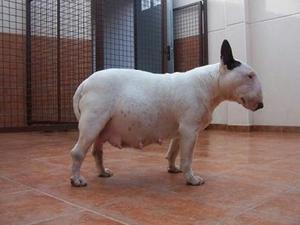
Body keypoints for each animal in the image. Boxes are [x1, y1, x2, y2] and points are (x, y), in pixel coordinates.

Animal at [70, 40, 262, 186]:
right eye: (250, 76)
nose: (261, 105)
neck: (209, 82)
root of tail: (85, 83)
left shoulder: (180, 132)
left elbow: (173, 152)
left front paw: (173, 169)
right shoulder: (190, 131)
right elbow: (187, 158)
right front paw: (191, 179)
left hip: (101, 129)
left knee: (97, 152)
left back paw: (102, 172)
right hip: (93, 123)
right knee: (78, 152)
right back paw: (77, 179)